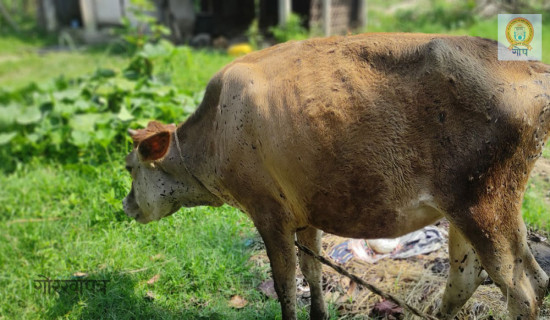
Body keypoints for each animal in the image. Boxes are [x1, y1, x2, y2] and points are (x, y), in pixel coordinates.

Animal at [124, 33, 550, 318]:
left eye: (129, 167)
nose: (127, 206)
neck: (215, 131)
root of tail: (532, 66)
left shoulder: (267, 212)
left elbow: (284, 284)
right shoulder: (305, 214)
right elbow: (311, 272)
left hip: (483, 204)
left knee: (522, 290)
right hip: (477, 208)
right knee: (483, 279)